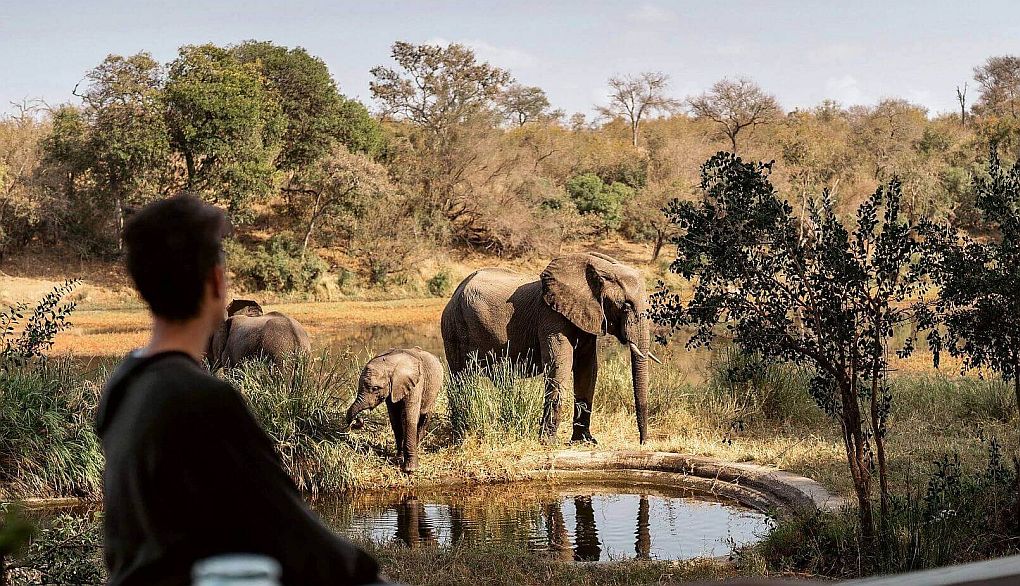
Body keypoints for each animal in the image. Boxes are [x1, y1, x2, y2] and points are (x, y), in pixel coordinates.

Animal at [441, 252, 658, 445]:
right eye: (626, 306)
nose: (643, 442)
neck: (598, 270)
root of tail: (455, 292)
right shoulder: (551, 316)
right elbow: (560, 364)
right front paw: (548, 442)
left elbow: (587, 369)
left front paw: (585, 441)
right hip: (453, 325)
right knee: (461, 377)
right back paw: (461, 435)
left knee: (500, 379)